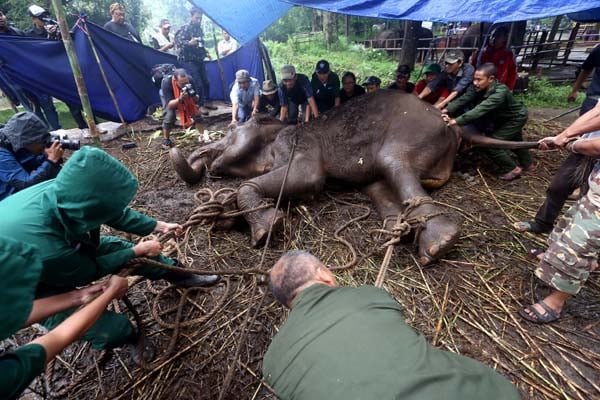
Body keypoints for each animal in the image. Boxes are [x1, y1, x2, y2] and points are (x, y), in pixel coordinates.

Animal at [171, 90, 536, 266]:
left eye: (231, 134)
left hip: (410, 135)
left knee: (394, 164)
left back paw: (438, 243)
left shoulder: (297, 145)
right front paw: (225, 216)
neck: (279, 127)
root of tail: (454, 126)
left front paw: (266, 230)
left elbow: (309, 178)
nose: (202, 161)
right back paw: (396, 233)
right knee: (377, 185)